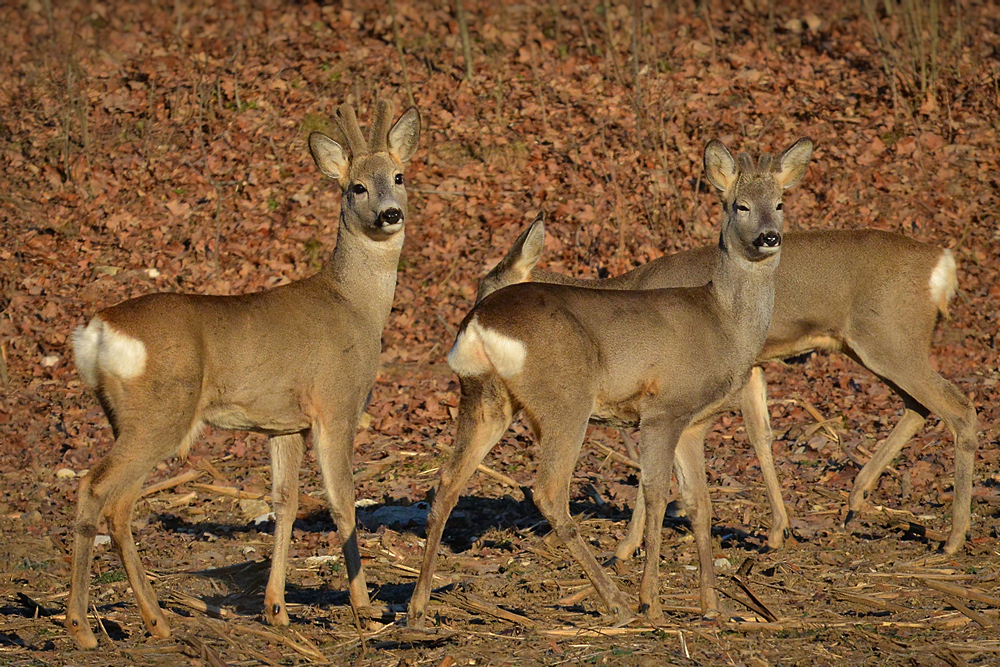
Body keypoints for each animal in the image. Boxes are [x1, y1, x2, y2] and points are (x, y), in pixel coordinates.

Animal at [65, 99, 418, 648]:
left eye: (398, 176)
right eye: (357, 186)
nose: (390, 213)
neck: (356, 306)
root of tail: (97, 330)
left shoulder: (284, 423)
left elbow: (285, 503)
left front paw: (276, 609)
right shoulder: (336, 403)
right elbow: (343, 503)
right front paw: (366, 607)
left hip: (127, 416)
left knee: (118, 505)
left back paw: (155, 620)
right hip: (159, 414)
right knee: (96, 488)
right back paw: (83, 628)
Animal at [406, 137, 812, 628]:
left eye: (780, 203)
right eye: (740, 206)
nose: (769, 237)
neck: (722, 321)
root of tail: (479, 320)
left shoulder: (694, 422)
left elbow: (700, 504)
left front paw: (712, 605)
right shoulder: (662, 410)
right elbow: (656, 496)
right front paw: (652, 600)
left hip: (485, 398)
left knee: (447, 481)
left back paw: (416, 608)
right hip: (566, 399)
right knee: (548, 491)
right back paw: (617, 602)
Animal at [476, 213, 976, 560]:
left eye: (489, 293)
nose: (473, 331)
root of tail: (943, 264)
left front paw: (625, 548)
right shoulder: (746, 367)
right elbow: (761, 434)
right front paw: (777, 531)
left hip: (890, 336)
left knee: (959, 407)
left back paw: (951, 539)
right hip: (872, 345)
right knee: (919, 405)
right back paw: (855, 502)